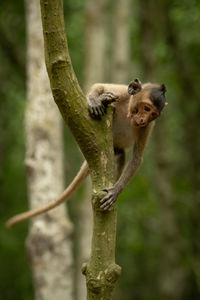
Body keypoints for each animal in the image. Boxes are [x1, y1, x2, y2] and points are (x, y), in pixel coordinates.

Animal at [5, 79, 166, 227]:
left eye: (153, 114)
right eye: (146, 108)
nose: (143, 119)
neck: (128, 113)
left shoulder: (147, 127)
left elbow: (137, 158)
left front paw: (115, 191)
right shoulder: (121, 94)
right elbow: (100, 85)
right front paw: (95, 100)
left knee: (120, 155)